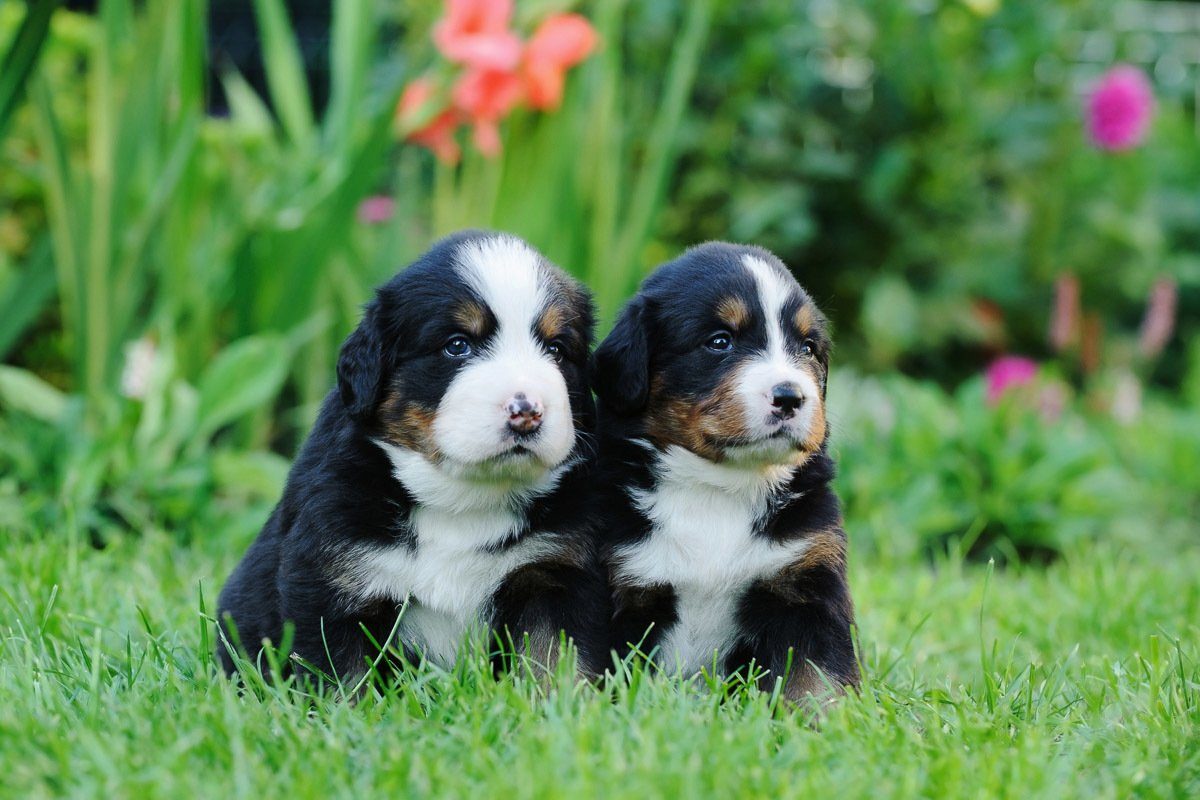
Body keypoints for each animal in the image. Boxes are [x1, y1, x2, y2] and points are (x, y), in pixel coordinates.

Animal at [217, 230, 609, 681]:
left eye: (557, 349)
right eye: (457, 346)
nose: (527, 411)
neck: (462, 501)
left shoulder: (555, 574)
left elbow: (555, 666)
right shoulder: (330, 581)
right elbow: (344, 681)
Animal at [592, 242, 859, 700]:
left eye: (807, 348)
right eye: (720, 342)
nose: (791, 396)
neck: (718, 486)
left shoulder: (807, 582)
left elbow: (816, 678)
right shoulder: (626, 587)